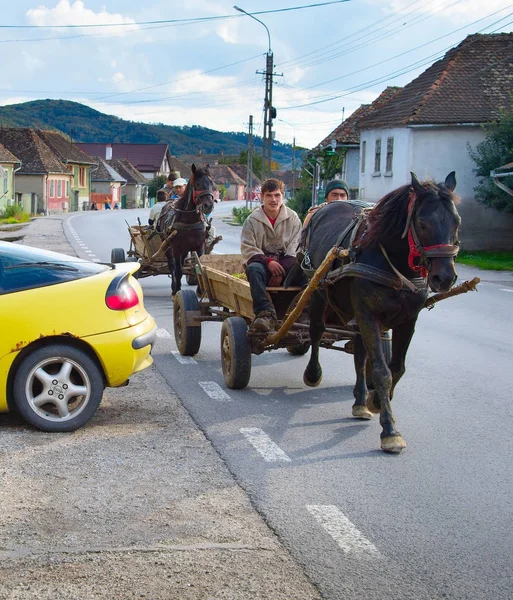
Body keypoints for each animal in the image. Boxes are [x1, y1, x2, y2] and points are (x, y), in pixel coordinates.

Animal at [160, 164, 216, 296]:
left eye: (211, 182)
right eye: (198, 184)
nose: (209, 205)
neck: (189, 220)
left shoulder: (200, 245)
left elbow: (198, 266)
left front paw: (200, 290)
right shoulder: (176, 247)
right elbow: (178, 269)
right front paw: (177, 289)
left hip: (185, 249)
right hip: (167, 245)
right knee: (172, 265)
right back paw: (174, 286)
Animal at [300, 171, 460, 452]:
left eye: (457, 222)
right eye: (422, 223)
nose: (445, 277)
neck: (394, 262)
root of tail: (327, 206)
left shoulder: (407, 319)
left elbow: (396, 367)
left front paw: (374, 400)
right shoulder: (368, 314)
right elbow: (382, 371)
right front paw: (389, 430)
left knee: (359, 352)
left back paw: (360, 401)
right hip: (319, 291)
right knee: (317, 331)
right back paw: (313, 373)